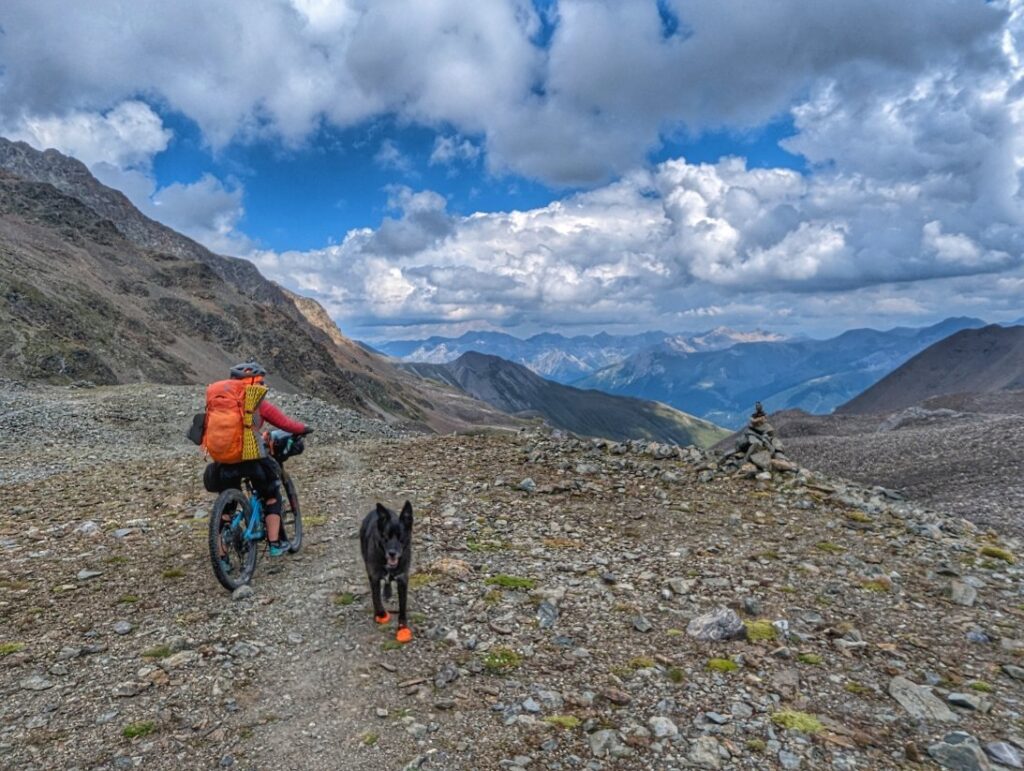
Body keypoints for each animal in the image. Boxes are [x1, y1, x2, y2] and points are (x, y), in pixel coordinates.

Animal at [356, 501, 411, 638]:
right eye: (386, 536)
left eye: (401, 537)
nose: (392, 553)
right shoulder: (374, 577)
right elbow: (376, 598)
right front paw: (380, 614)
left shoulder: (402, 580)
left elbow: (403, 606)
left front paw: (402, 627)